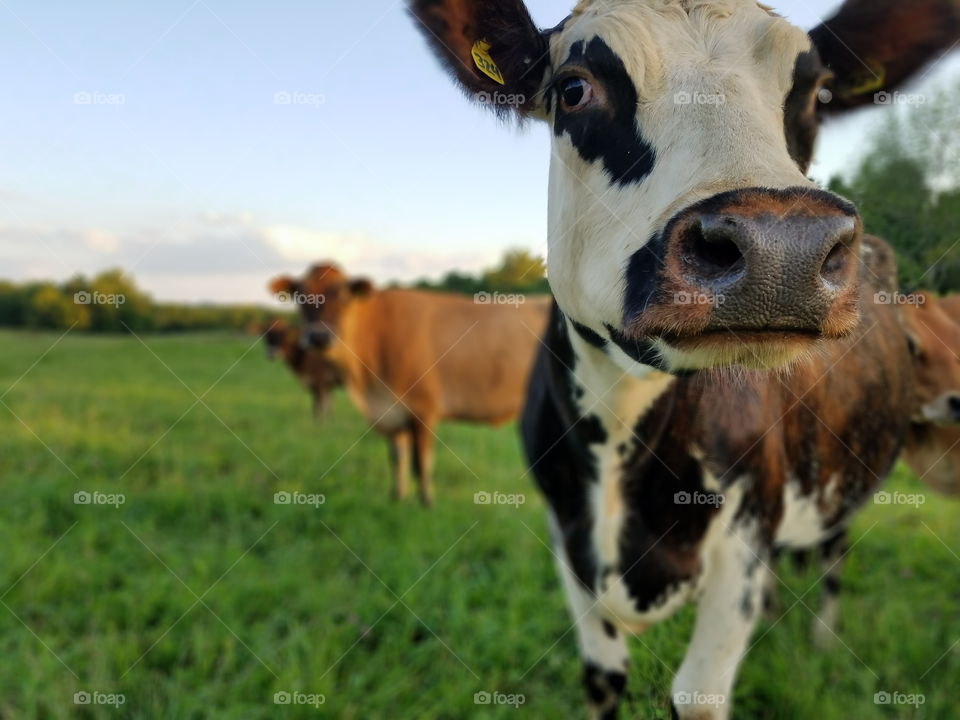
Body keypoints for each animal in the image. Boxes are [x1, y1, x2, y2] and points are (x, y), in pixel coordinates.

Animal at [274, 264, 552, 506]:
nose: (318, 337)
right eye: (301, 296)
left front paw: (426, 504)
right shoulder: (390, 412)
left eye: (343, 296)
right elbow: (397, 458)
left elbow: (422, 463)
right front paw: (396, 498)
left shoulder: (423, 409)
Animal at [410, 1, 960, 720]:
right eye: (574, 88)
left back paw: (819, 641)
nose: (784, 245)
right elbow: (602, 676)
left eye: (817, 94)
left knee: (834, 550)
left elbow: (697, 695)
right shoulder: (566, 532)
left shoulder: (746, 530)